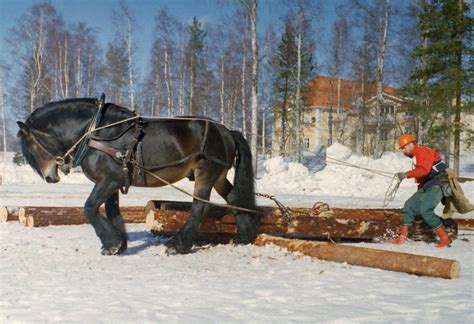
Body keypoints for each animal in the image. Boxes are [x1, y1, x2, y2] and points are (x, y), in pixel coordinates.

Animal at [16, 97, 258, 254]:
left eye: (31, 146)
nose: (49, 177)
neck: (96, 132)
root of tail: (227, 131)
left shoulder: (109, 180)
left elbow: (90, 208)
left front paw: (111, 242)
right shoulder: (112, 182)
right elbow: (112, 210)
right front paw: (118, 243)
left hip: (206, 173)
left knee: (200, 207)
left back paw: (177, 245)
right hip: (218, 176)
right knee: (234, 198)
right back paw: (243, 236)